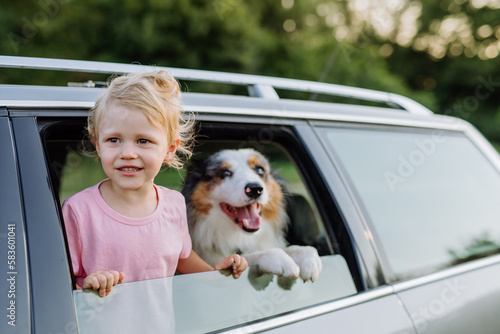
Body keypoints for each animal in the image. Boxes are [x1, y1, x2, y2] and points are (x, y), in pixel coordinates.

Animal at [182, 149, 322, 282]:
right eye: (224, 173)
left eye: (259, 169)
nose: (255, 189)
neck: (240, 236)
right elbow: (246, 257)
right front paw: (280, 258)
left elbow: (296, 248)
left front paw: (308, 258)